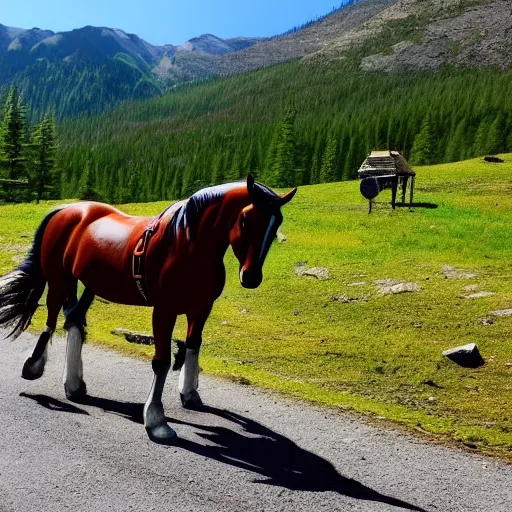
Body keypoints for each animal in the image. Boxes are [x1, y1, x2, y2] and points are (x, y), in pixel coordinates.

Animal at [0, 176, 296, 440]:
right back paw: (33, 366)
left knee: (73, 321)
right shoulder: (164, 310)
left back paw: (73, 384)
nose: (251, 277)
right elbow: (161, 362)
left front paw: (189, 393)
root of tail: (66, 210)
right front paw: (156, 422)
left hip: (87, 284)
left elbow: (193, 345)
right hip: (59, 279)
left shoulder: (201, 308)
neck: (188, 244)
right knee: (50, 322)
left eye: (277, 223)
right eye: (246, 219)